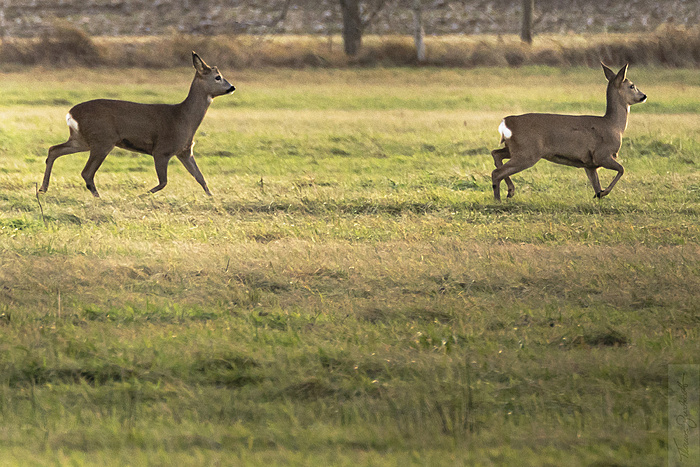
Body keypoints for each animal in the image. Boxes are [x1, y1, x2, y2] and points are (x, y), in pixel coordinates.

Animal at [38, 51, 235, 197]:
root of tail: (70, 113)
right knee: (86, 172)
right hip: (103, 140)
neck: (183, 117)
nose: (232, 87)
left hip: (82, 139)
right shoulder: (162, 150)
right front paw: (141, 195)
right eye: (218, 77)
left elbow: (201, 178)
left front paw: (212, 197)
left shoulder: (185, 151)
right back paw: (98, 196)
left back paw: (43, 189)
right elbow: (163, 182)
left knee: (54, 150)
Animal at [492, 63, 644, 202]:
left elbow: (596, 185)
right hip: (527, 152)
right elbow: (622, 169)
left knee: (496, 154)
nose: (644, 96)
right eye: (632, 86)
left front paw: (599, 195)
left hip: (515, 148)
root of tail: (506, 122)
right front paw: (604, 192)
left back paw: (510, 191)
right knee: (496, 172)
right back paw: (499, 199)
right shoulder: (602, 155)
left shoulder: (590, 165)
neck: (614, 126)